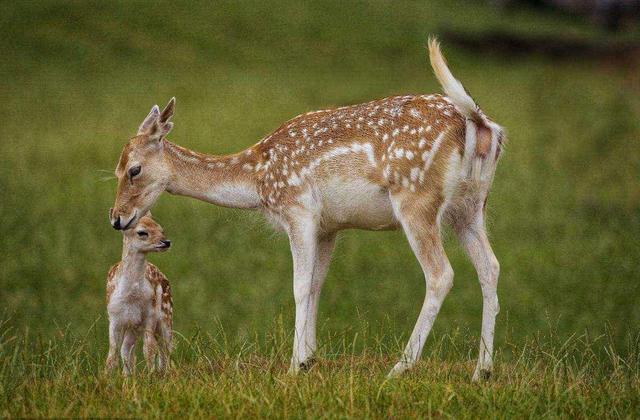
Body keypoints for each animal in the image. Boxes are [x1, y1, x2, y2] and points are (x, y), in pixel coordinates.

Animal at [112, 39, 508, 380]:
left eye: (134, 169)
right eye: (115, 170)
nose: (116, 218)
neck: (258, 179)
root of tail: (481, 125)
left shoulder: (298, 209)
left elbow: (300, 286)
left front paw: (293, 367)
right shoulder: (329, 226)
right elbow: (318, 284)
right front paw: (309, 360)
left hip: (417, 198)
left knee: (441, 274)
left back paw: (400, 368)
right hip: (470, 205)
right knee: (490, 266)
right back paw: (482, 371)